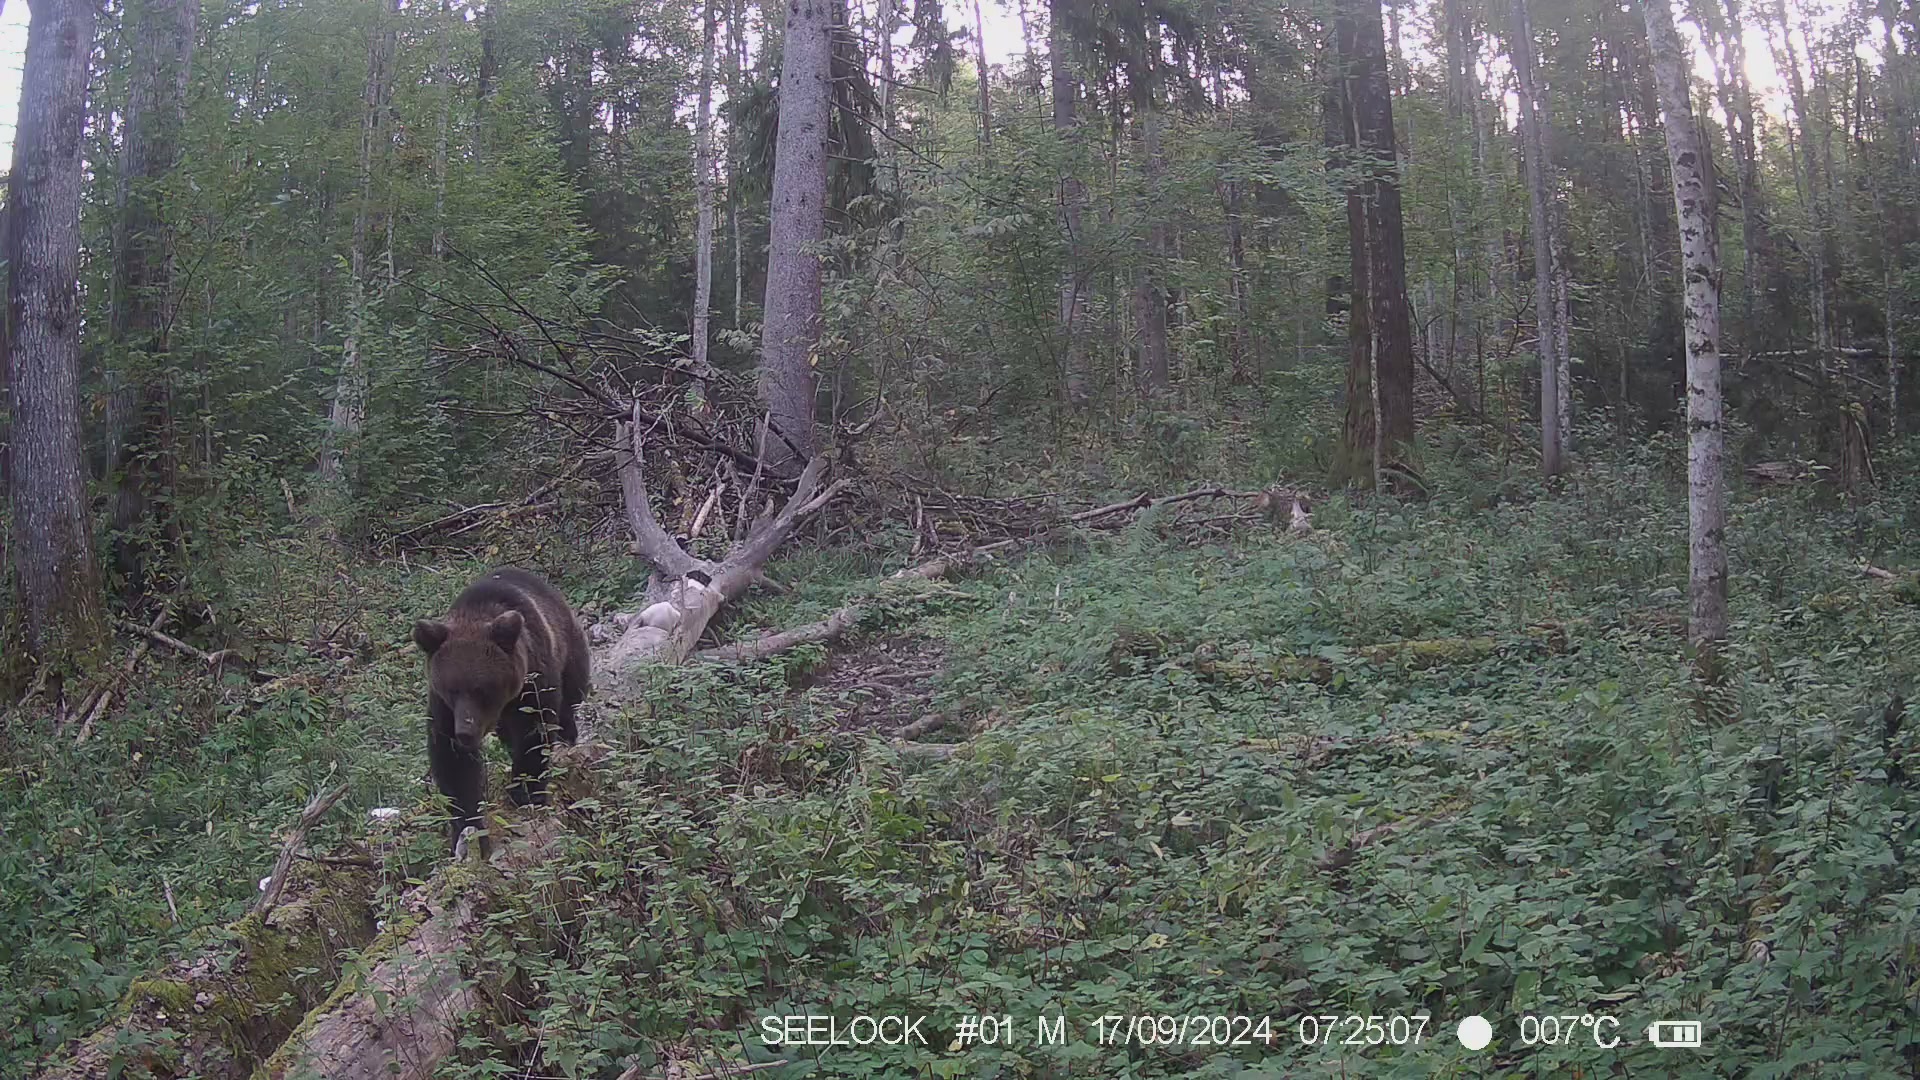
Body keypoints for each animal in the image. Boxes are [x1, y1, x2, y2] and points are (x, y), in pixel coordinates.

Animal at [413, 568, 590, 854]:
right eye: (452, 689)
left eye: (481, 689)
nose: (465, 732)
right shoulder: (443, 708)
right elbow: (454, 765)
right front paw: (469, 829)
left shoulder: (533, 681)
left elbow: (535, 730)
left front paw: (526, 792)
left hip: (569, 647)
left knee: (570, 698)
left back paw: (567, 737)